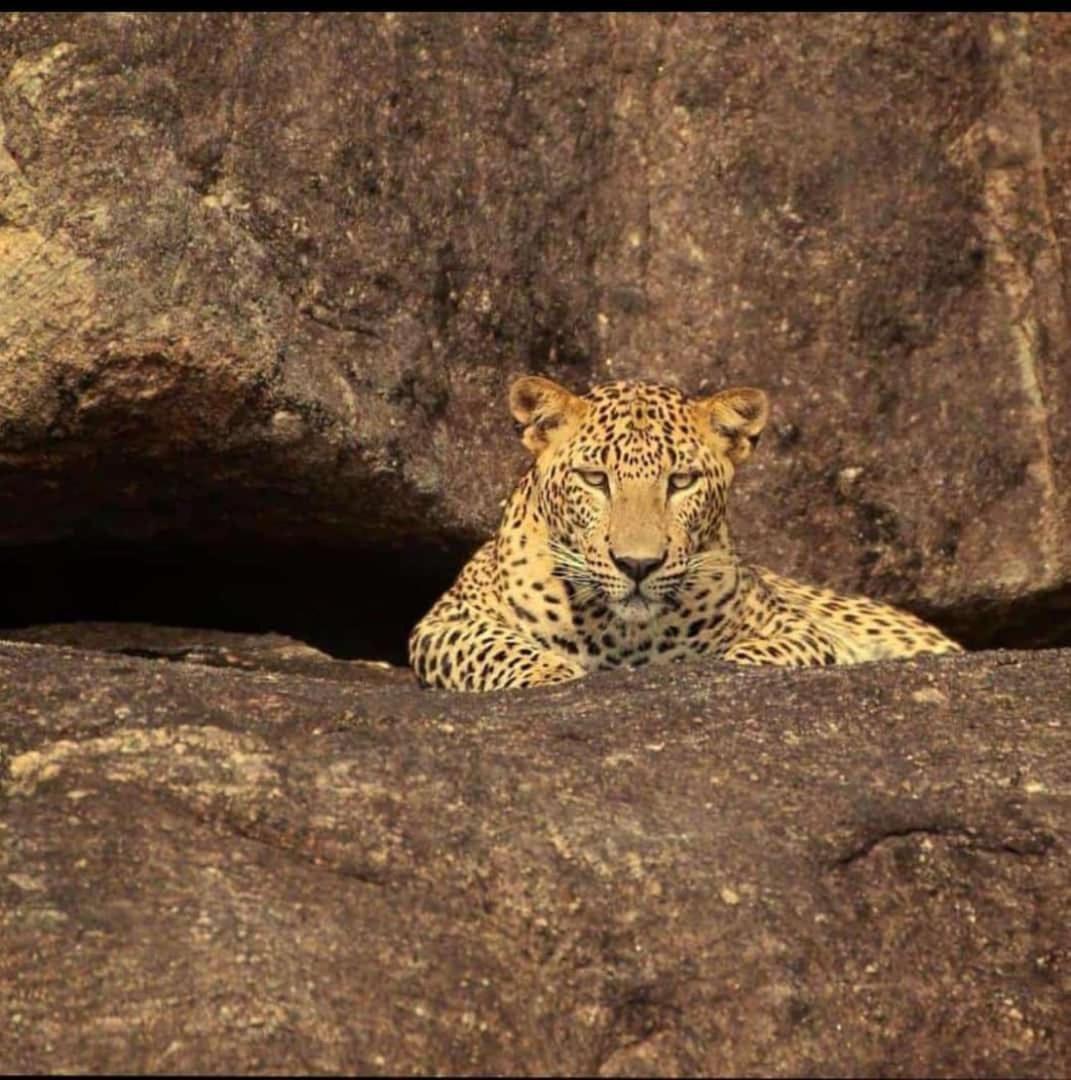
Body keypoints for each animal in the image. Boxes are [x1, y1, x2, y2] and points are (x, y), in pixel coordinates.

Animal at [410, 378, 963, 691]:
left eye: (681, 482)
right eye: (594, 479)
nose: (637, 565)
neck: (621, 635)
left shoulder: (795, 631)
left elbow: (753, 655)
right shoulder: (444, 622)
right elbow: (500, 647)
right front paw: (555, 673)